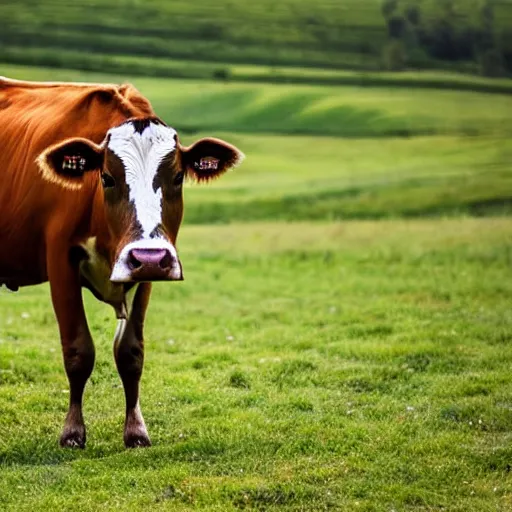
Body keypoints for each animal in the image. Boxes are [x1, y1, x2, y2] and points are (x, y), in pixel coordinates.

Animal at [0, 76, 243, 448]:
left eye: (177, 177)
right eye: (106, 178)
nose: (149, 256)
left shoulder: (147, 270)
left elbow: (131, 353)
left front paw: (136, 430)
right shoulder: (60, 261)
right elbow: (78, 350)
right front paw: (72, 431)